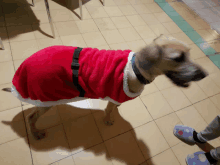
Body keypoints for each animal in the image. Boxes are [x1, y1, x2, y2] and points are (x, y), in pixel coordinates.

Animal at [1, 34, 208, 140]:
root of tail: (23, 66)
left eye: (189, 53)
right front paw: (109, 119)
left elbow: (113, 108)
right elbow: (109, 110)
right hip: (44, 97)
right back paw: (35, 132)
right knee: (30, 117)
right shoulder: (114, 96)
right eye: (178, 58)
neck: (136, 69)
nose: (204, 74)